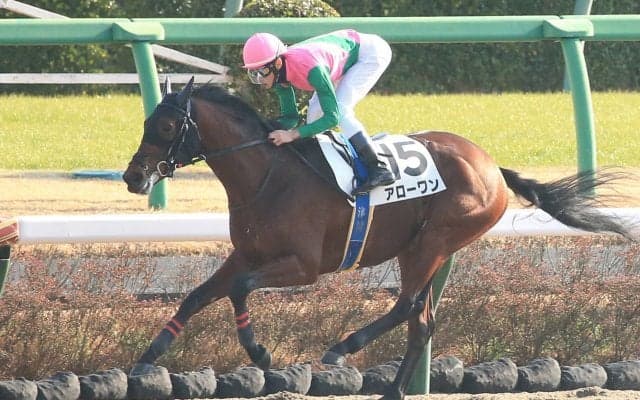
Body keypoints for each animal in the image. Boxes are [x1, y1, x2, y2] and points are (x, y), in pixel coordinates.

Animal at [123, 78, 635, 400]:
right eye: (145, 122)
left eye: (166, 126)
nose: (133, 177)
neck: (266, 177)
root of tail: (491, 164)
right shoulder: (246, 254)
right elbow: (196, 296)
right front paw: (145, 362)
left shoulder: (305, 266)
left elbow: (240, 289)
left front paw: (260, 351)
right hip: (421, 249)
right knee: (422, 321)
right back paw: (392, 391)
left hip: (436, 241)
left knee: (407, 306)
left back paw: (343, 348)